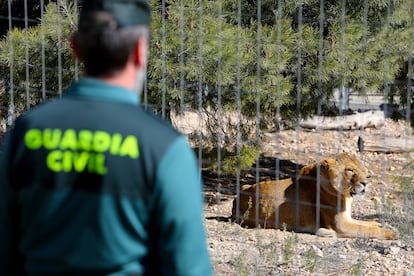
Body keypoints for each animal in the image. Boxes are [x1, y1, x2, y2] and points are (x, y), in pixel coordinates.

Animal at [233, 152, 398, 240]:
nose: (366, 182)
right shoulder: (341, 225)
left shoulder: (348, 218)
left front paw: (386, 224)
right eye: (350, 170)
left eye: (364, 170)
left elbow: (369, 224)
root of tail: (236, 198)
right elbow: (370, 230)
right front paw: (392, 233)